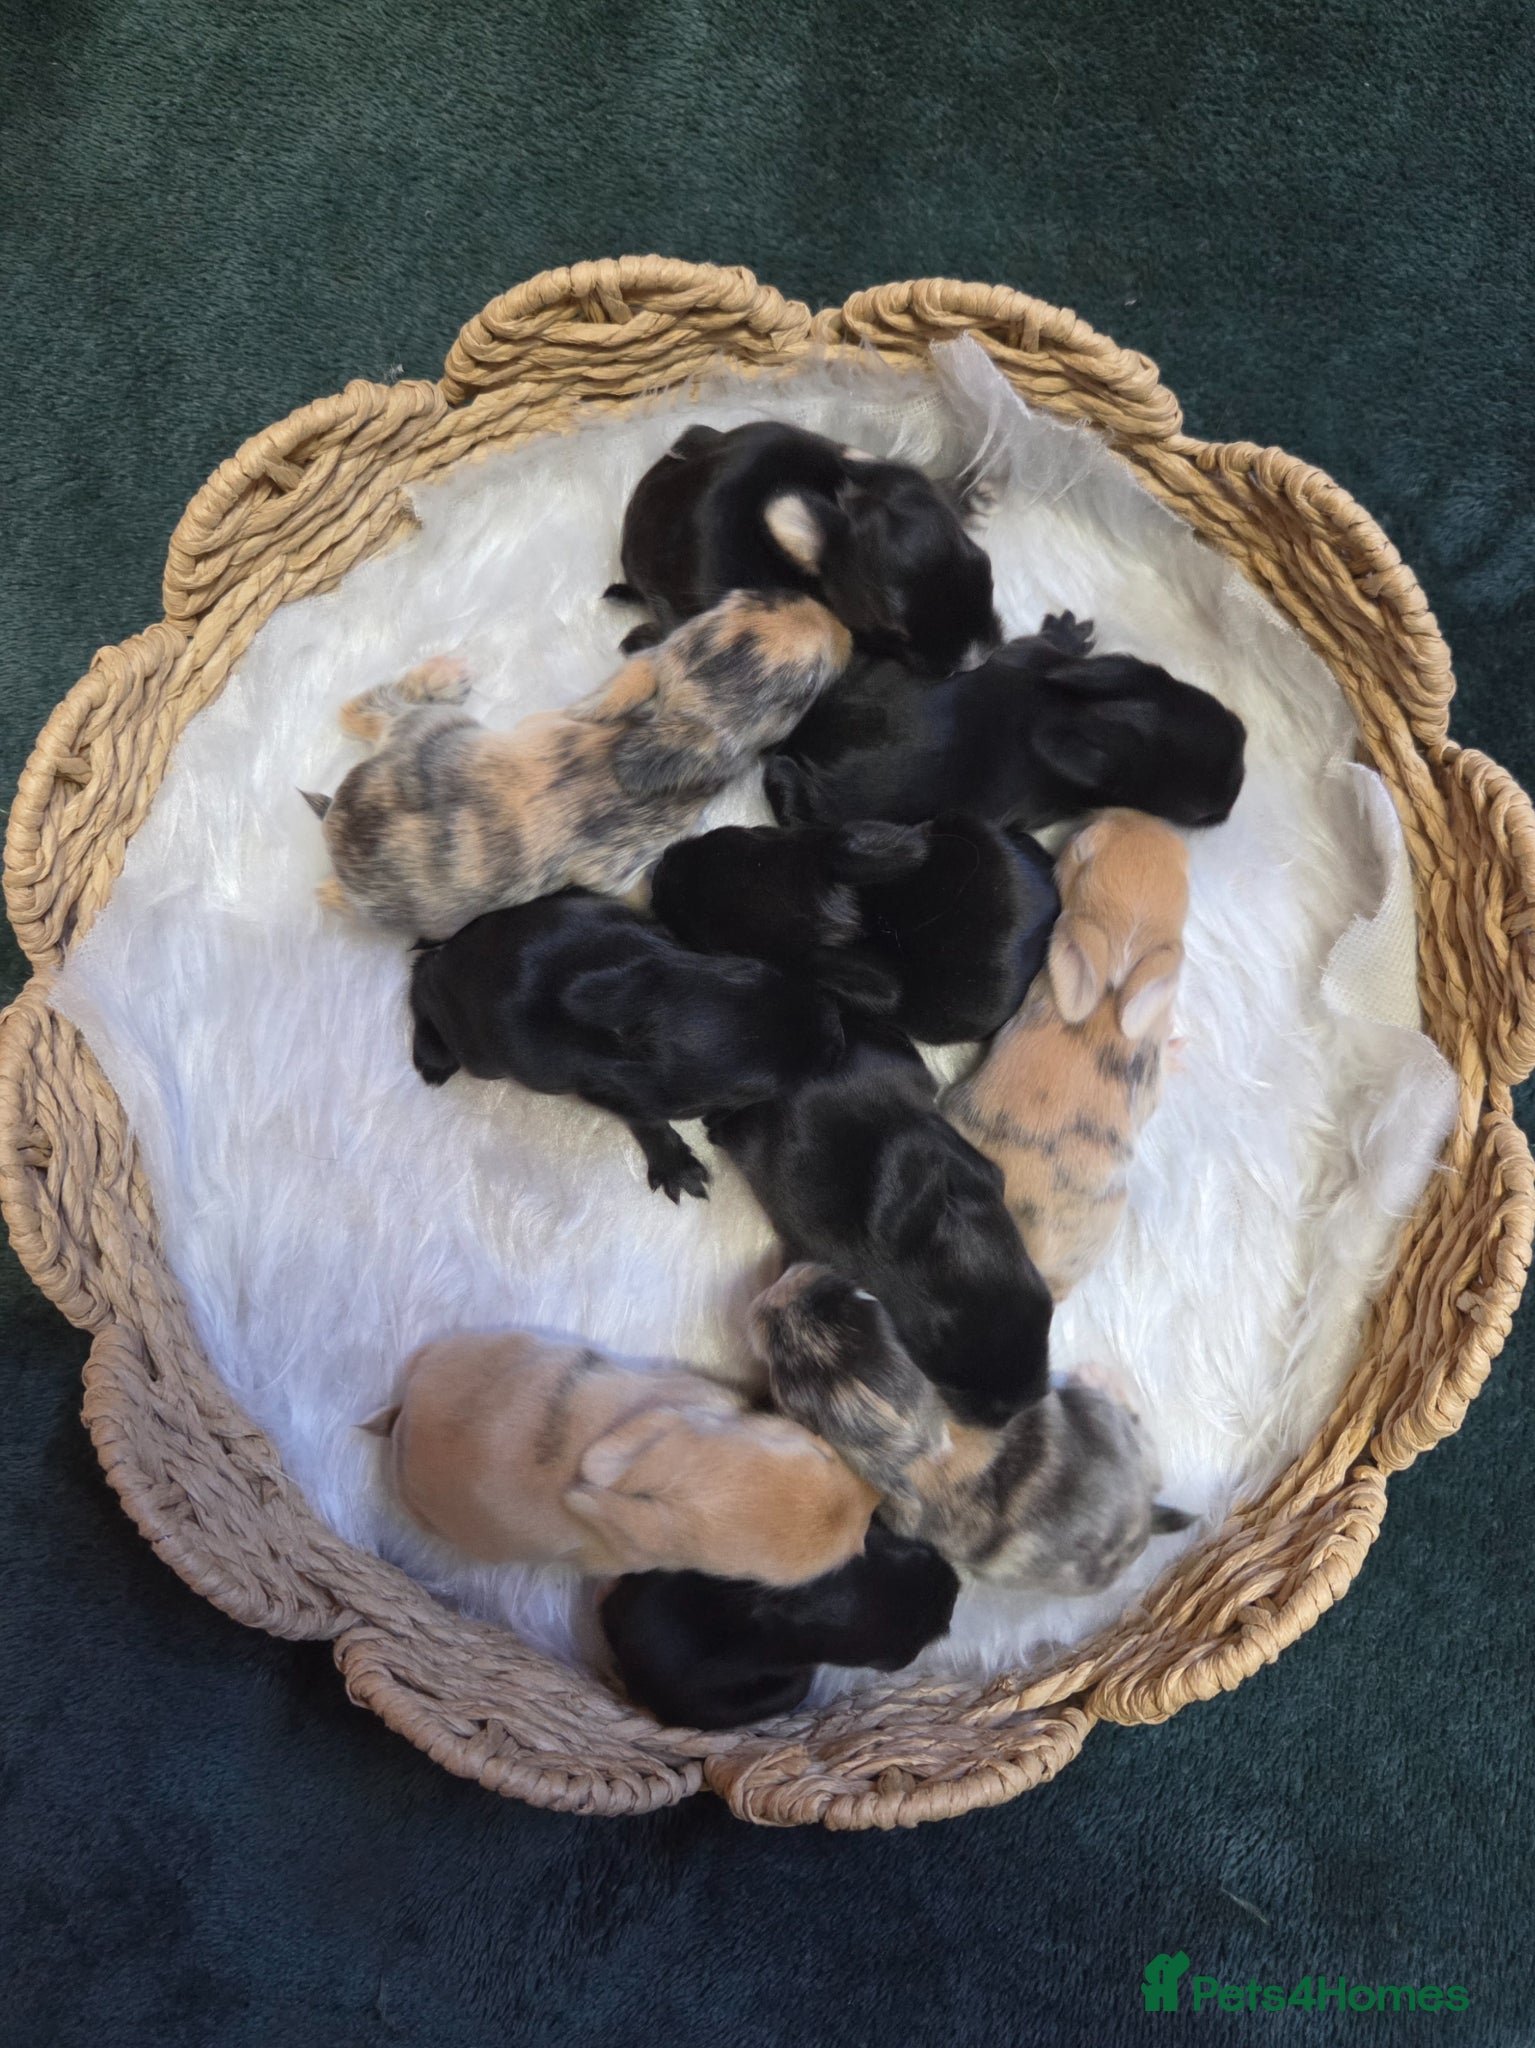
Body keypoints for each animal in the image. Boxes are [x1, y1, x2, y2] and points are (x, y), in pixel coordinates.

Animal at [304, 590, 851, 940]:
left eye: (752, 598)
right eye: (805, 687)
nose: (844, 628)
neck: (649, 726)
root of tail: (337, 820)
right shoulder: (622, 868)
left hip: (432, 727)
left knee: (362, 709)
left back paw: (445, 673)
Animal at [409, 887, 846, 1202]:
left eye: (759, 969)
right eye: (760, 1087)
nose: (838, 1030)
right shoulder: (617, 1092)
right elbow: (648, 1119)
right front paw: (676, 1164)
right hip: (479, 1054)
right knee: (422, 978)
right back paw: (433, 1051)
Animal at [752, 1265, 1192, 1592]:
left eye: (784, 1375)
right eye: (859, 1299)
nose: (787, 1281)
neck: (921, 1441)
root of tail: (1146, 1519)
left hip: (1101, 1414)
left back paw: (1100, 1374)